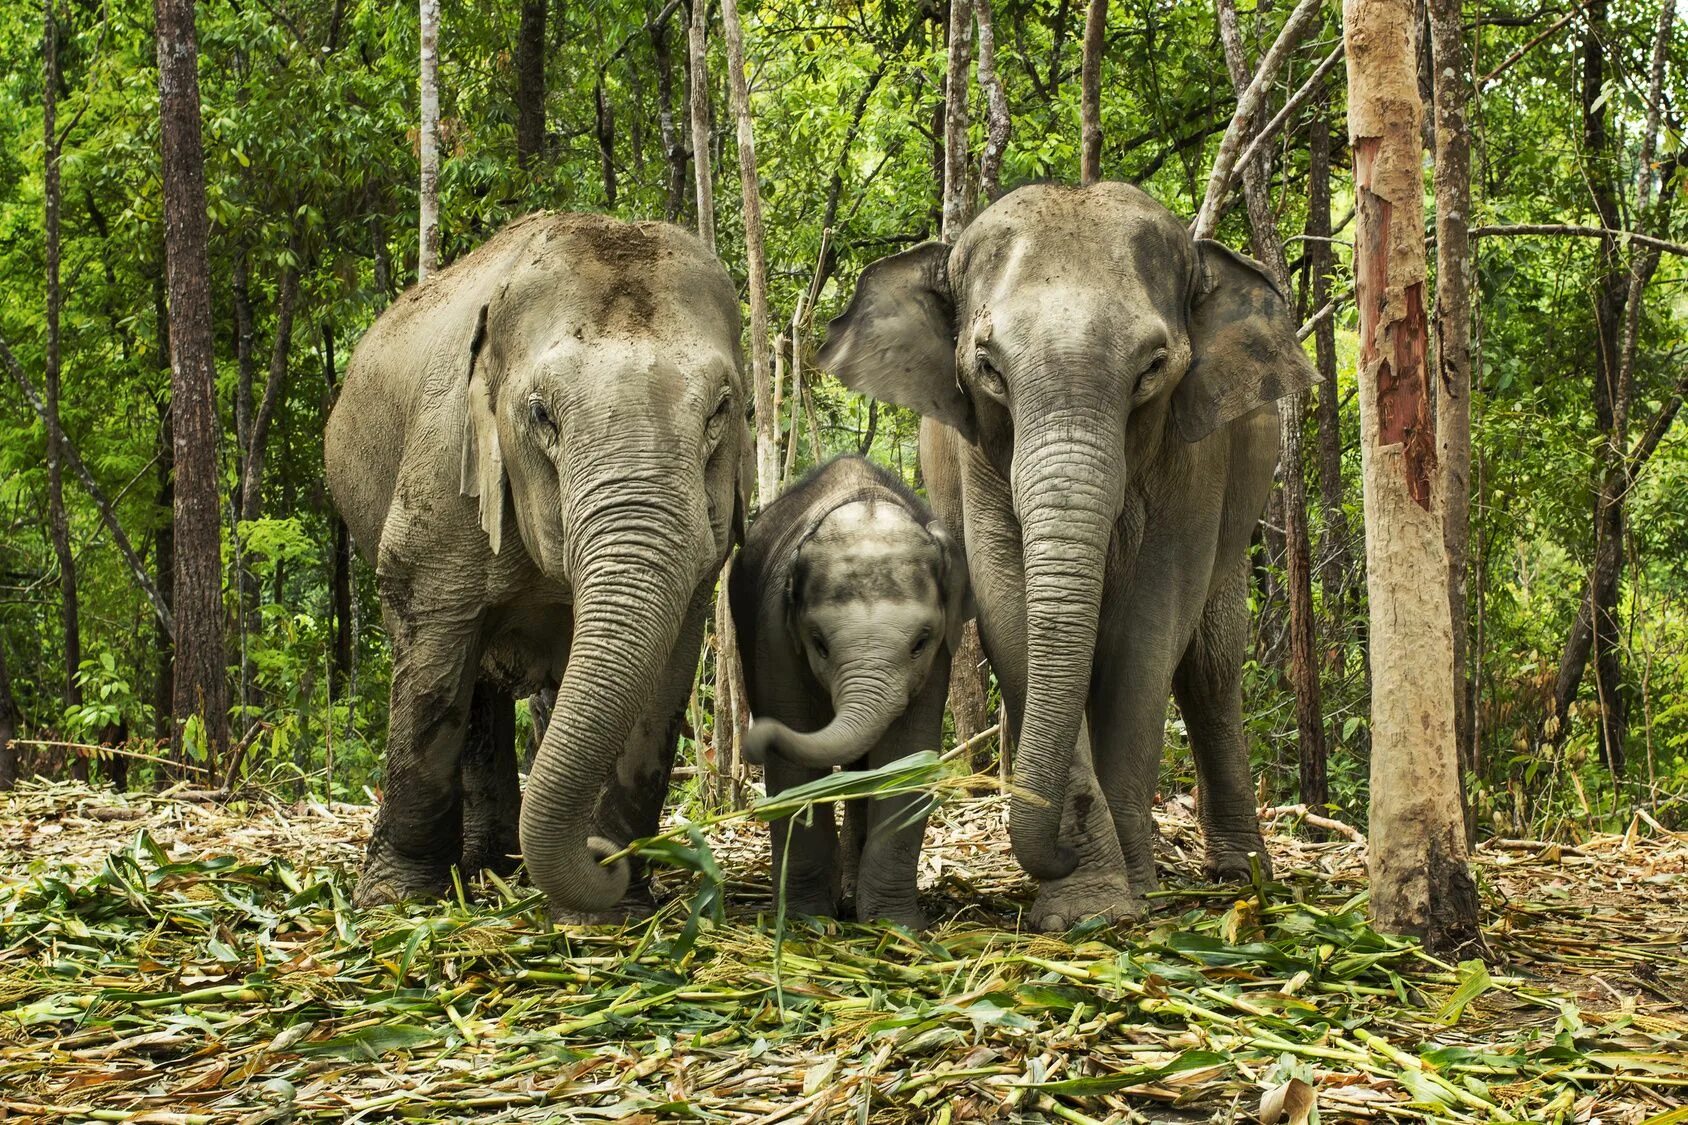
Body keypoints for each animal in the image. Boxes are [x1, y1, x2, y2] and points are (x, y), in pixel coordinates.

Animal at [325, 212, 749, 918]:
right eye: (540, 414)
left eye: (722, 409)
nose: (606, 859)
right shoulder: (444, 471)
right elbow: (432, 652)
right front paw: (394, 901)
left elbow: (661, 677)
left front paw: (616, 906)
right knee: (472, 685)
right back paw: (486, 865)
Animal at [729, 452, 979, 925]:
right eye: (819, 643)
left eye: (920, 642)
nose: (753, 740)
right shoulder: (773, 630)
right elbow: (796, 763)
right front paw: (808, 919)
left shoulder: (940, 658)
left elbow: (904, 756)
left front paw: (894, 925)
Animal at [820, 179, 1316, 925]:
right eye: (988, 368)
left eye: (1153, 368)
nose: (1062, 834)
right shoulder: (975, 456)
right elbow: (1009, 604)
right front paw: (1088, 900)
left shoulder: (1195, 457)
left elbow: (1150, 626)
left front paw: (1123, 894)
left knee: (1210, 665)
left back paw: (1239, 876)